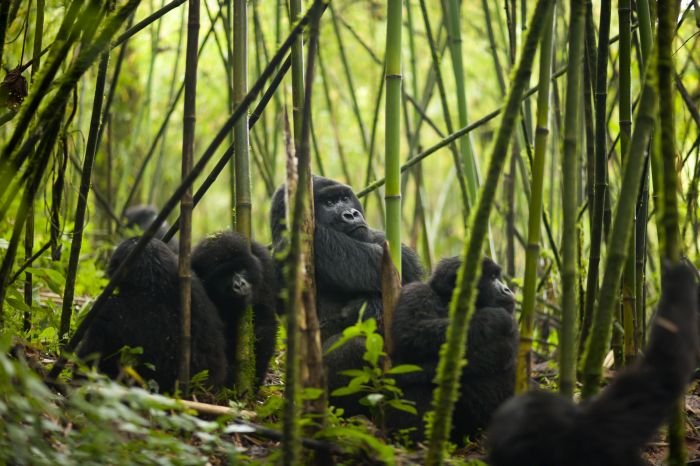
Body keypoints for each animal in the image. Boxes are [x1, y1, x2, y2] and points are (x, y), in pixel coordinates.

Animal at [193, 231, 280, 388]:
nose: (239, 285)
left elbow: (264, 324)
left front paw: (255, 378)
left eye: (241, 269)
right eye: (224, 275)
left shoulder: (263, 262)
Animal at [388, 256, 520, 442]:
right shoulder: (415, 292)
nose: (507, 289)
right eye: (493, 277)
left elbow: (499, 353)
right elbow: (413, 332)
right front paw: (494, 317)